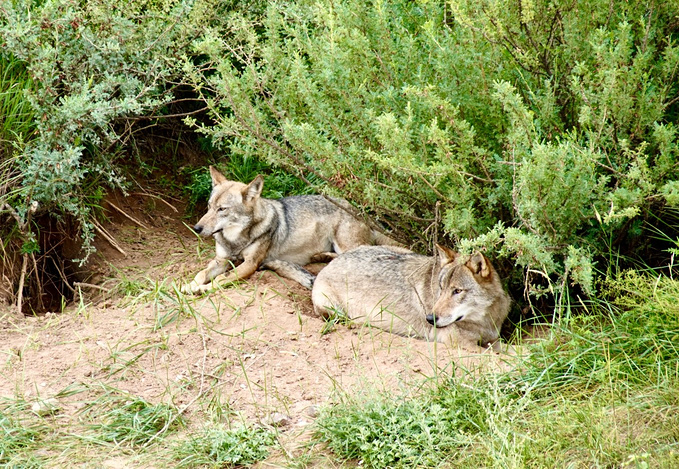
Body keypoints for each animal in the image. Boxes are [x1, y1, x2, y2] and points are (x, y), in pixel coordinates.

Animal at [183, 167, 402, 292]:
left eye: (222, 209)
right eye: (209, 206)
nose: (197, 228)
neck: (235, 241)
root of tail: (360, 211)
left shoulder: (250, 264)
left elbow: (221, 279)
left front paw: (201, 290)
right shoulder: (221, 260)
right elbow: (201, 274)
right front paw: (189, 286)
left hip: (347, 245)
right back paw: (319, 256)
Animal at [312, 243, 510, 350]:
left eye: (457, 291)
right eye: (441, 288)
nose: (430, 319)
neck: (484, 320)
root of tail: (335, 261)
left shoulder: (492, 339)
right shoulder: (460, 343)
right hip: (333, 308)